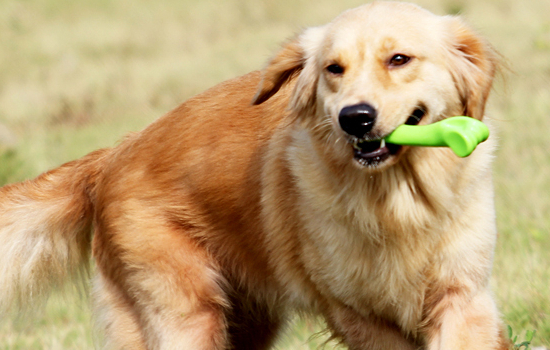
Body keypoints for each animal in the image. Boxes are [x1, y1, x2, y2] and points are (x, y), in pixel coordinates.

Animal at [0, 2, 512, 350]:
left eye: (399, 59)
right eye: (334, 69)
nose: (355, 118)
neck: (397, 201)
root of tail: (113, 155)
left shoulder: (464, 296)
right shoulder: (355, 314)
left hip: (247, 321)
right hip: (188, 312)